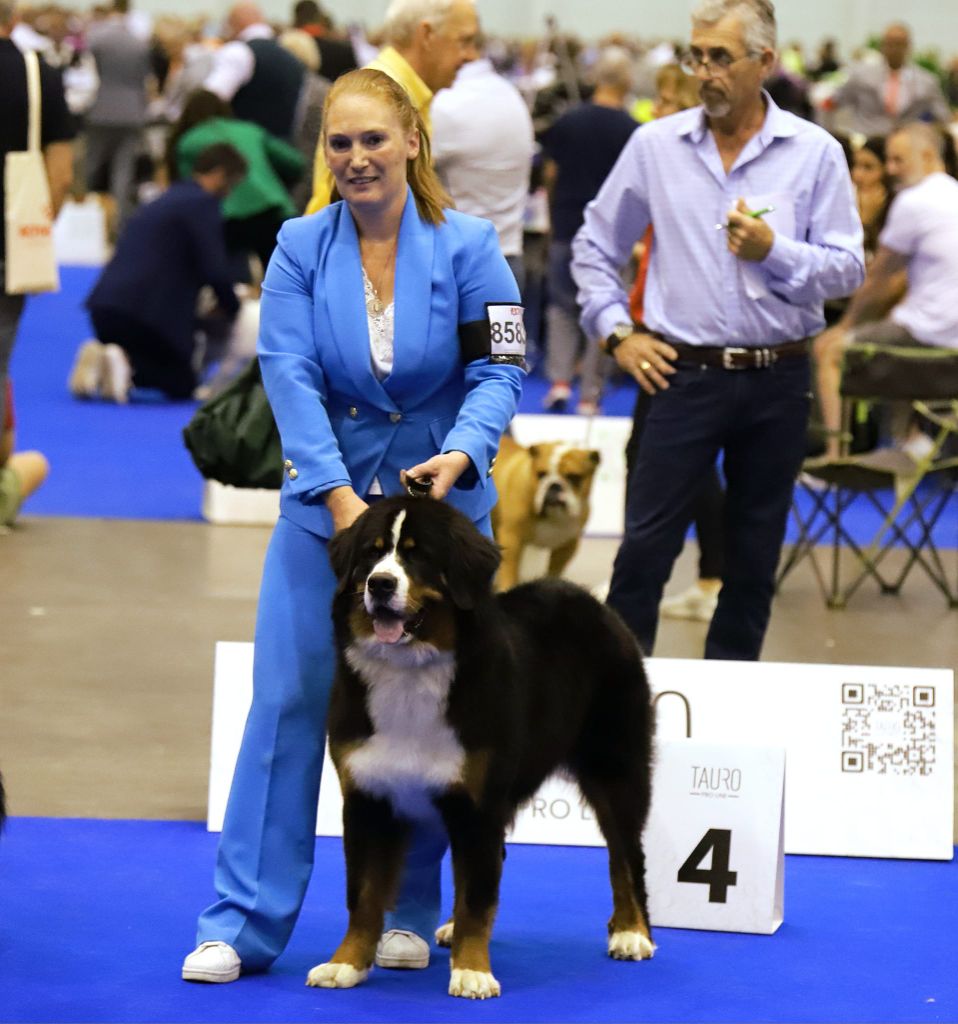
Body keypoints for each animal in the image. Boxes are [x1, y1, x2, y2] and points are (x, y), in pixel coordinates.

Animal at [311, 495, 655, 999]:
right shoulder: (369, 798)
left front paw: (472, 971)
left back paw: (632, 932)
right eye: (371, 556)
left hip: (616, 769)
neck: (409, 673)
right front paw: (346, 964)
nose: (380, 584)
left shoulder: (477, 803)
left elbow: (477, 896)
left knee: (625, 855)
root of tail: (595, 605)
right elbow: (364, 893)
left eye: (418, 556)